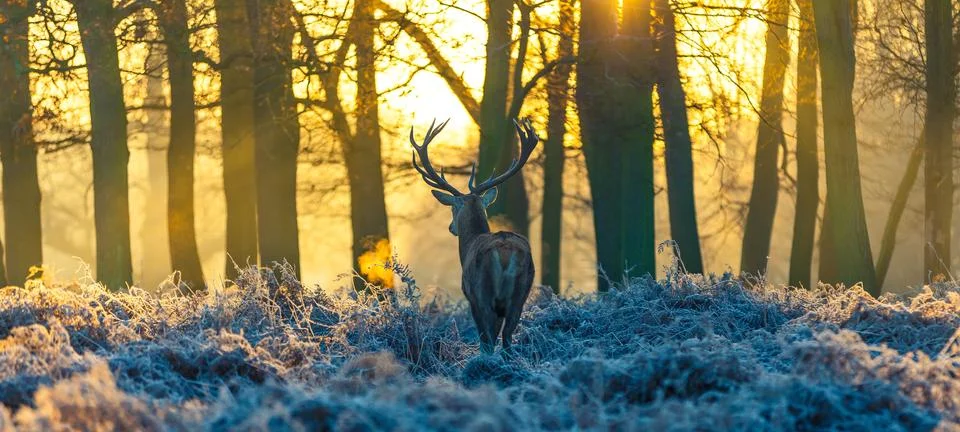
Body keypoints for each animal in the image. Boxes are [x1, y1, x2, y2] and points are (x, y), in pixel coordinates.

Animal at [410, 118, 539, 353]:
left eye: (453, 208)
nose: (451, 227)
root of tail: (505, 253)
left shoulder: (470, 295)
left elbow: (484, 339)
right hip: (521, 293)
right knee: (507, 339)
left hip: (483, 291)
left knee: (489, 339)